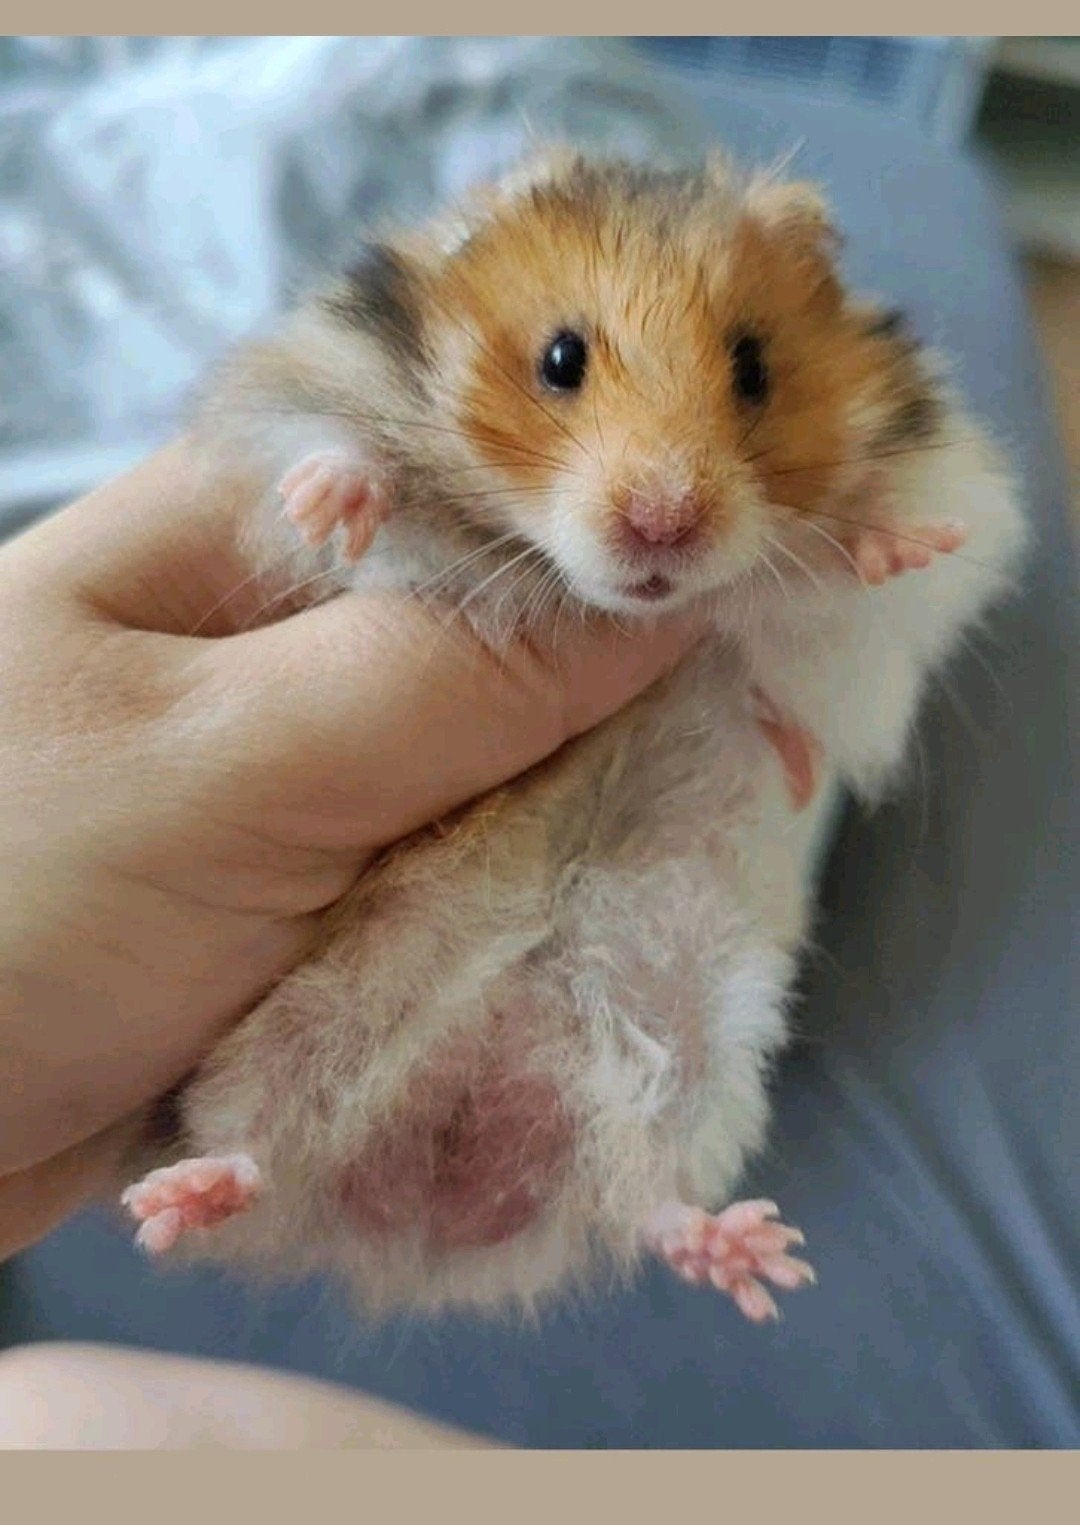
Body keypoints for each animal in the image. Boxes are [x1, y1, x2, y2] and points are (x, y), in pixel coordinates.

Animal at [117, 147, 1027, 1324]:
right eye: (561, 358)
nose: (664, 523)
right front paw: (335, 495)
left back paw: (754, 1261)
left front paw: (892, 534)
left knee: (640, 1190)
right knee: (261, 1143)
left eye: (754, 368)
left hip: (705, 1054)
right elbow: (349, 486)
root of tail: (430, 1203)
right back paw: (171, 1204)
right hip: (289, 1039)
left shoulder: (856, 646)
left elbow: (850, 580)